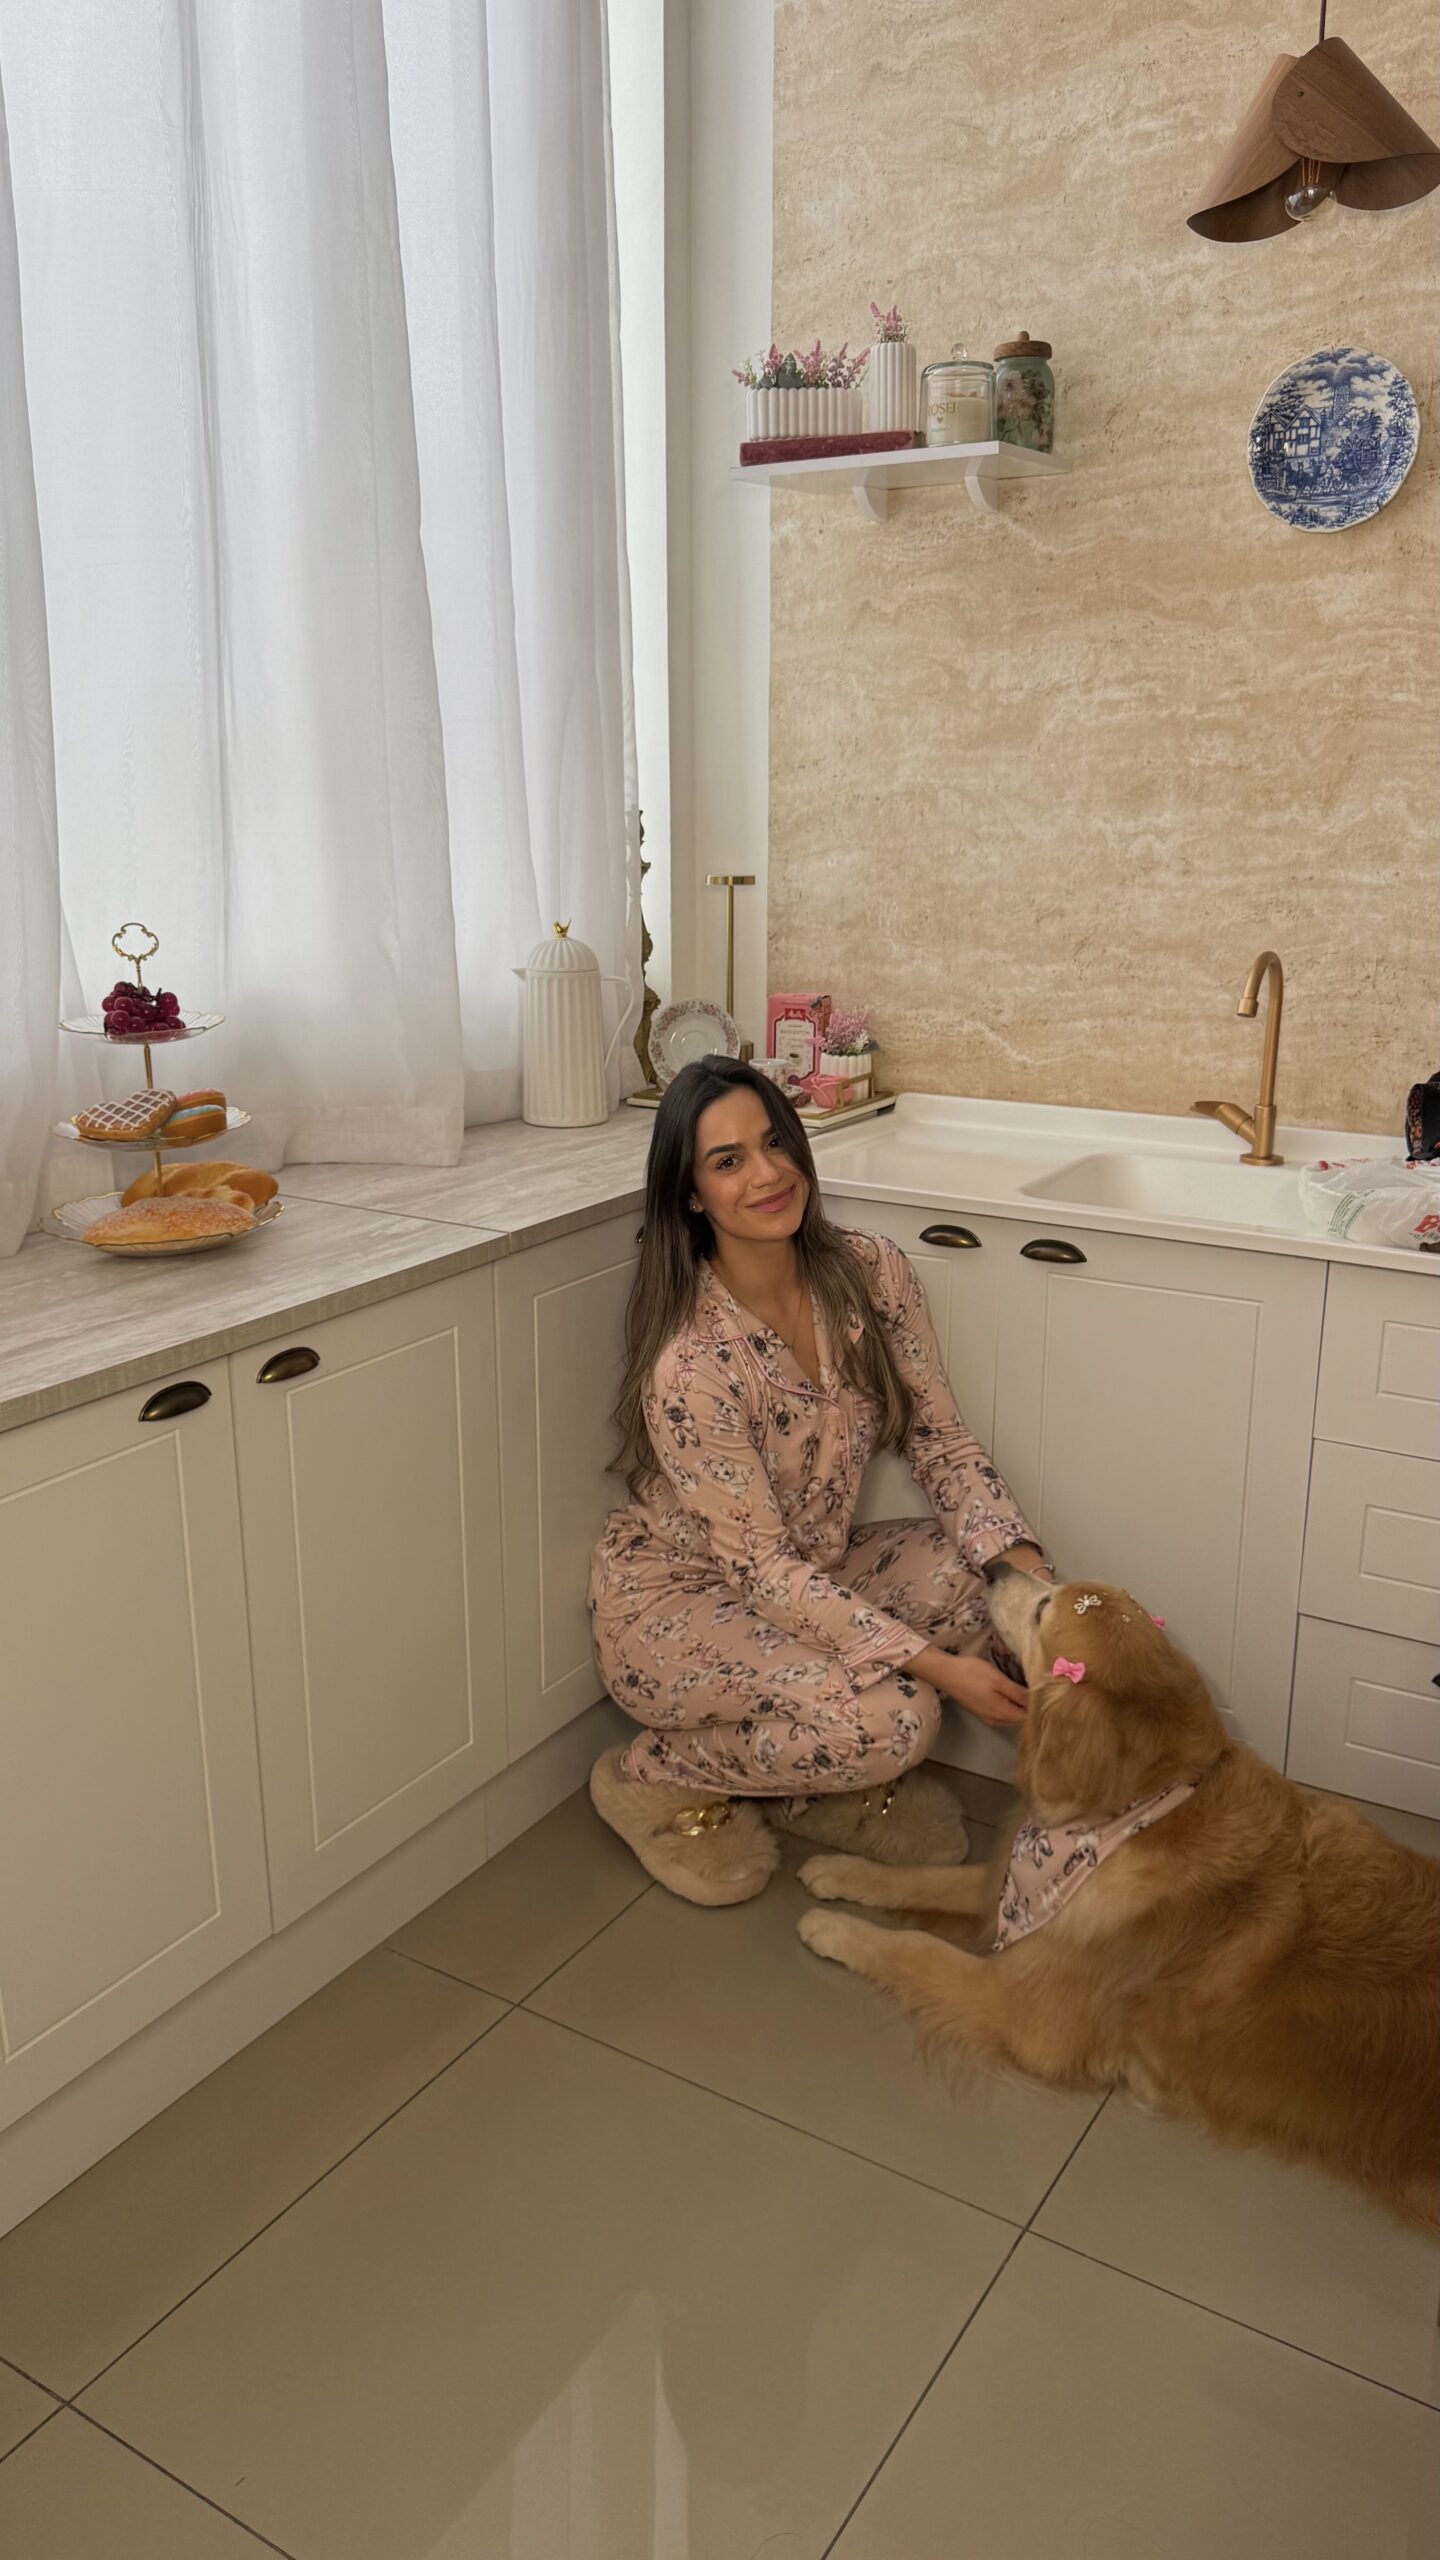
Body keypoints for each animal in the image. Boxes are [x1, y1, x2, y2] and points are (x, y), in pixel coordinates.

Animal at [798, 1563, 1440, 2231]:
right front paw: (837, 1870)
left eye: (1044, 1607)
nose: (994, 1567)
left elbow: (915, 1949)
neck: (1134, 1815)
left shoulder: (1026, 2010)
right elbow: (919, 1878)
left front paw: (833, 1929)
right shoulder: (1014, 1895)